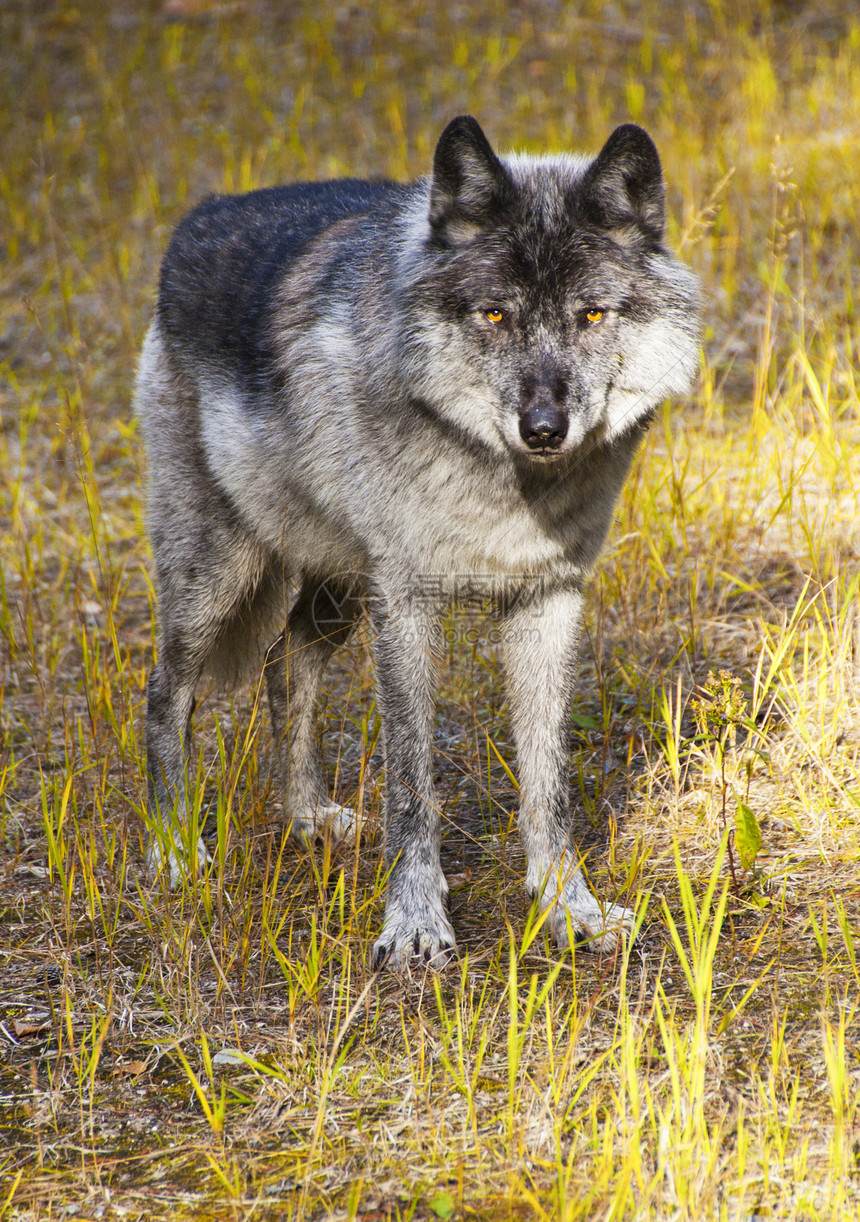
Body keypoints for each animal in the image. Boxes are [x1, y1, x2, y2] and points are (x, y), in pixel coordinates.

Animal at [132, 119, 698, 967]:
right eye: (494, 316)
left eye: (593, 315)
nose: (543, 428)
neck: (508, 487)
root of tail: (199, 215)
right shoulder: (405, 604)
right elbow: (411, 782)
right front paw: (416, 923)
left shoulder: (549, 601)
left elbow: (550, 782)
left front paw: (570, 908)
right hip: (220, 576)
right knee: (166, 693)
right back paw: (173, 851)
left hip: (336, 590)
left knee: (283, 661)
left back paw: (308, 817)